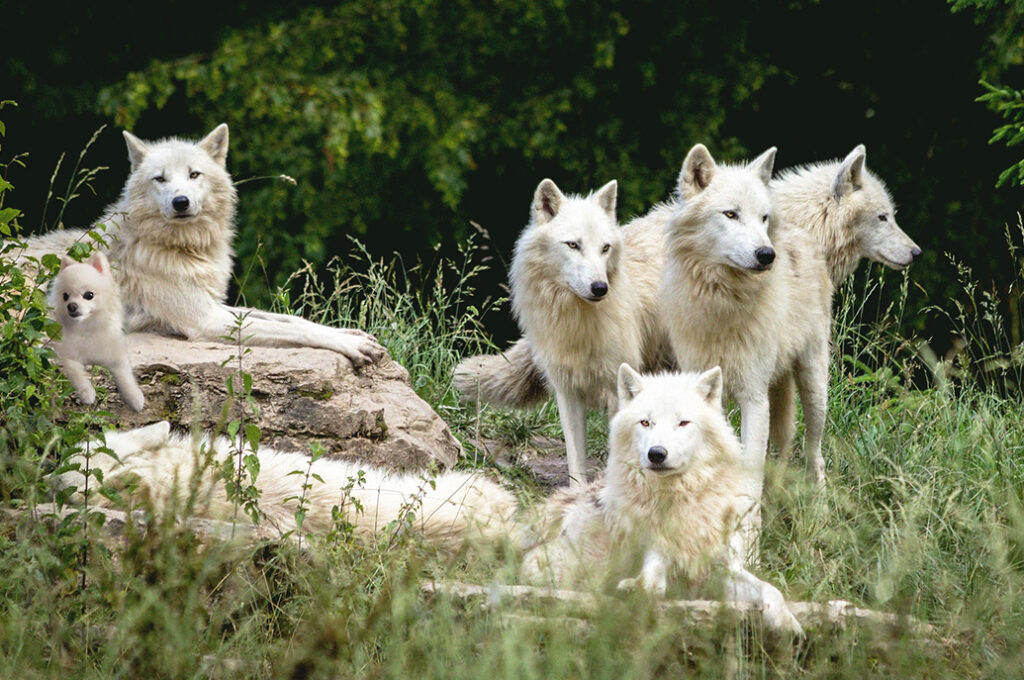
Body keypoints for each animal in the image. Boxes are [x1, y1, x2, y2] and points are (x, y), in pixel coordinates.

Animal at [19, 125, 384, 366]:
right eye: (160, 178)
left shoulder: (216, 305)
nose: (180, 202)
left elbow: (292, 321)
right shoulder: (206, 320)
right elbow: (293, 331)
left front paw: (352, 334)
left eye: (194, 174)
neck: (184, 250)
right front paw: (350, 345)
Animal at [48, 250, 145, 411]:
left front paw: (135, 398)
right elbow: (78, 375)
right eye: (65, 296)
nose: (71, 306)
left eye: (89, 295)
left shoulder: (116, 358)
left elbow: (126, 377)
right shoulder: (67, 355)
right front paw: (88, 394)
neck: (88, 328)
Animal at [519, 365, 803, 635]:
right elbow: (652, 580)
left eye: (683, 423)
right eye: (646, 423)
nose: (656, 453)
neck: (681, 498)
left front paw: (787, 623)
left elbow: (770, 589)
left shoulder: (722, 570)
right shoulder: (657, 554)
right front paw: (635, 588)